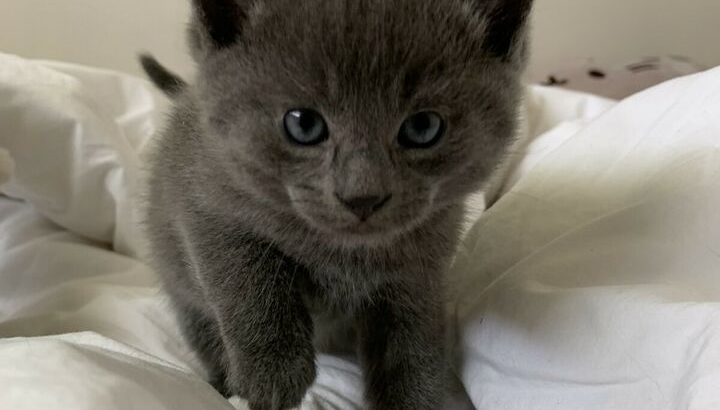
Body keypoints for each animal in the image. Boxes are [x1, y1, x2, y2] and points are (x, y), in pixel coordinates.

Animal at [141, 1, 532, 408]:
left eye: (423, 127)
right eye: (303, 124)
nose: (363, 196)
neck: (345, 253)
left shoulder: (419, 272)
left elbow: (412, 345)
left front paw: (412, 399)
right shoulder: (208, 203)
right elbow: (245, 279)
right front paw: (272, 378)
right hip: (178, 282)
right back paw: (220, 383)